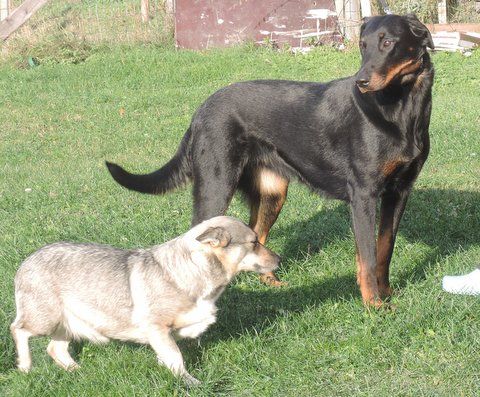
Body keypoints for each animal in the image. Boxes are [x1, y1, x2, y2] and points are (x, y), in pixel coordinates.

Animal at [108, 13, 436, 306]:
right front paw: (374, 305)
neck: (400, 107)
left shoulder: (399, 192)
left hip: (272, 193)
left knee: (257, 235)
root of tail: (200, 110)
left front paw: (387, 293)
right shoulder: (363, 195)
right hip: (216, 187)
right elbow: (367, 258)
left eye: (388, 43)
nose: (362, 81)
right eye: (362, 45)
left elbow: (384, 250)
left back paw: (269, 281)